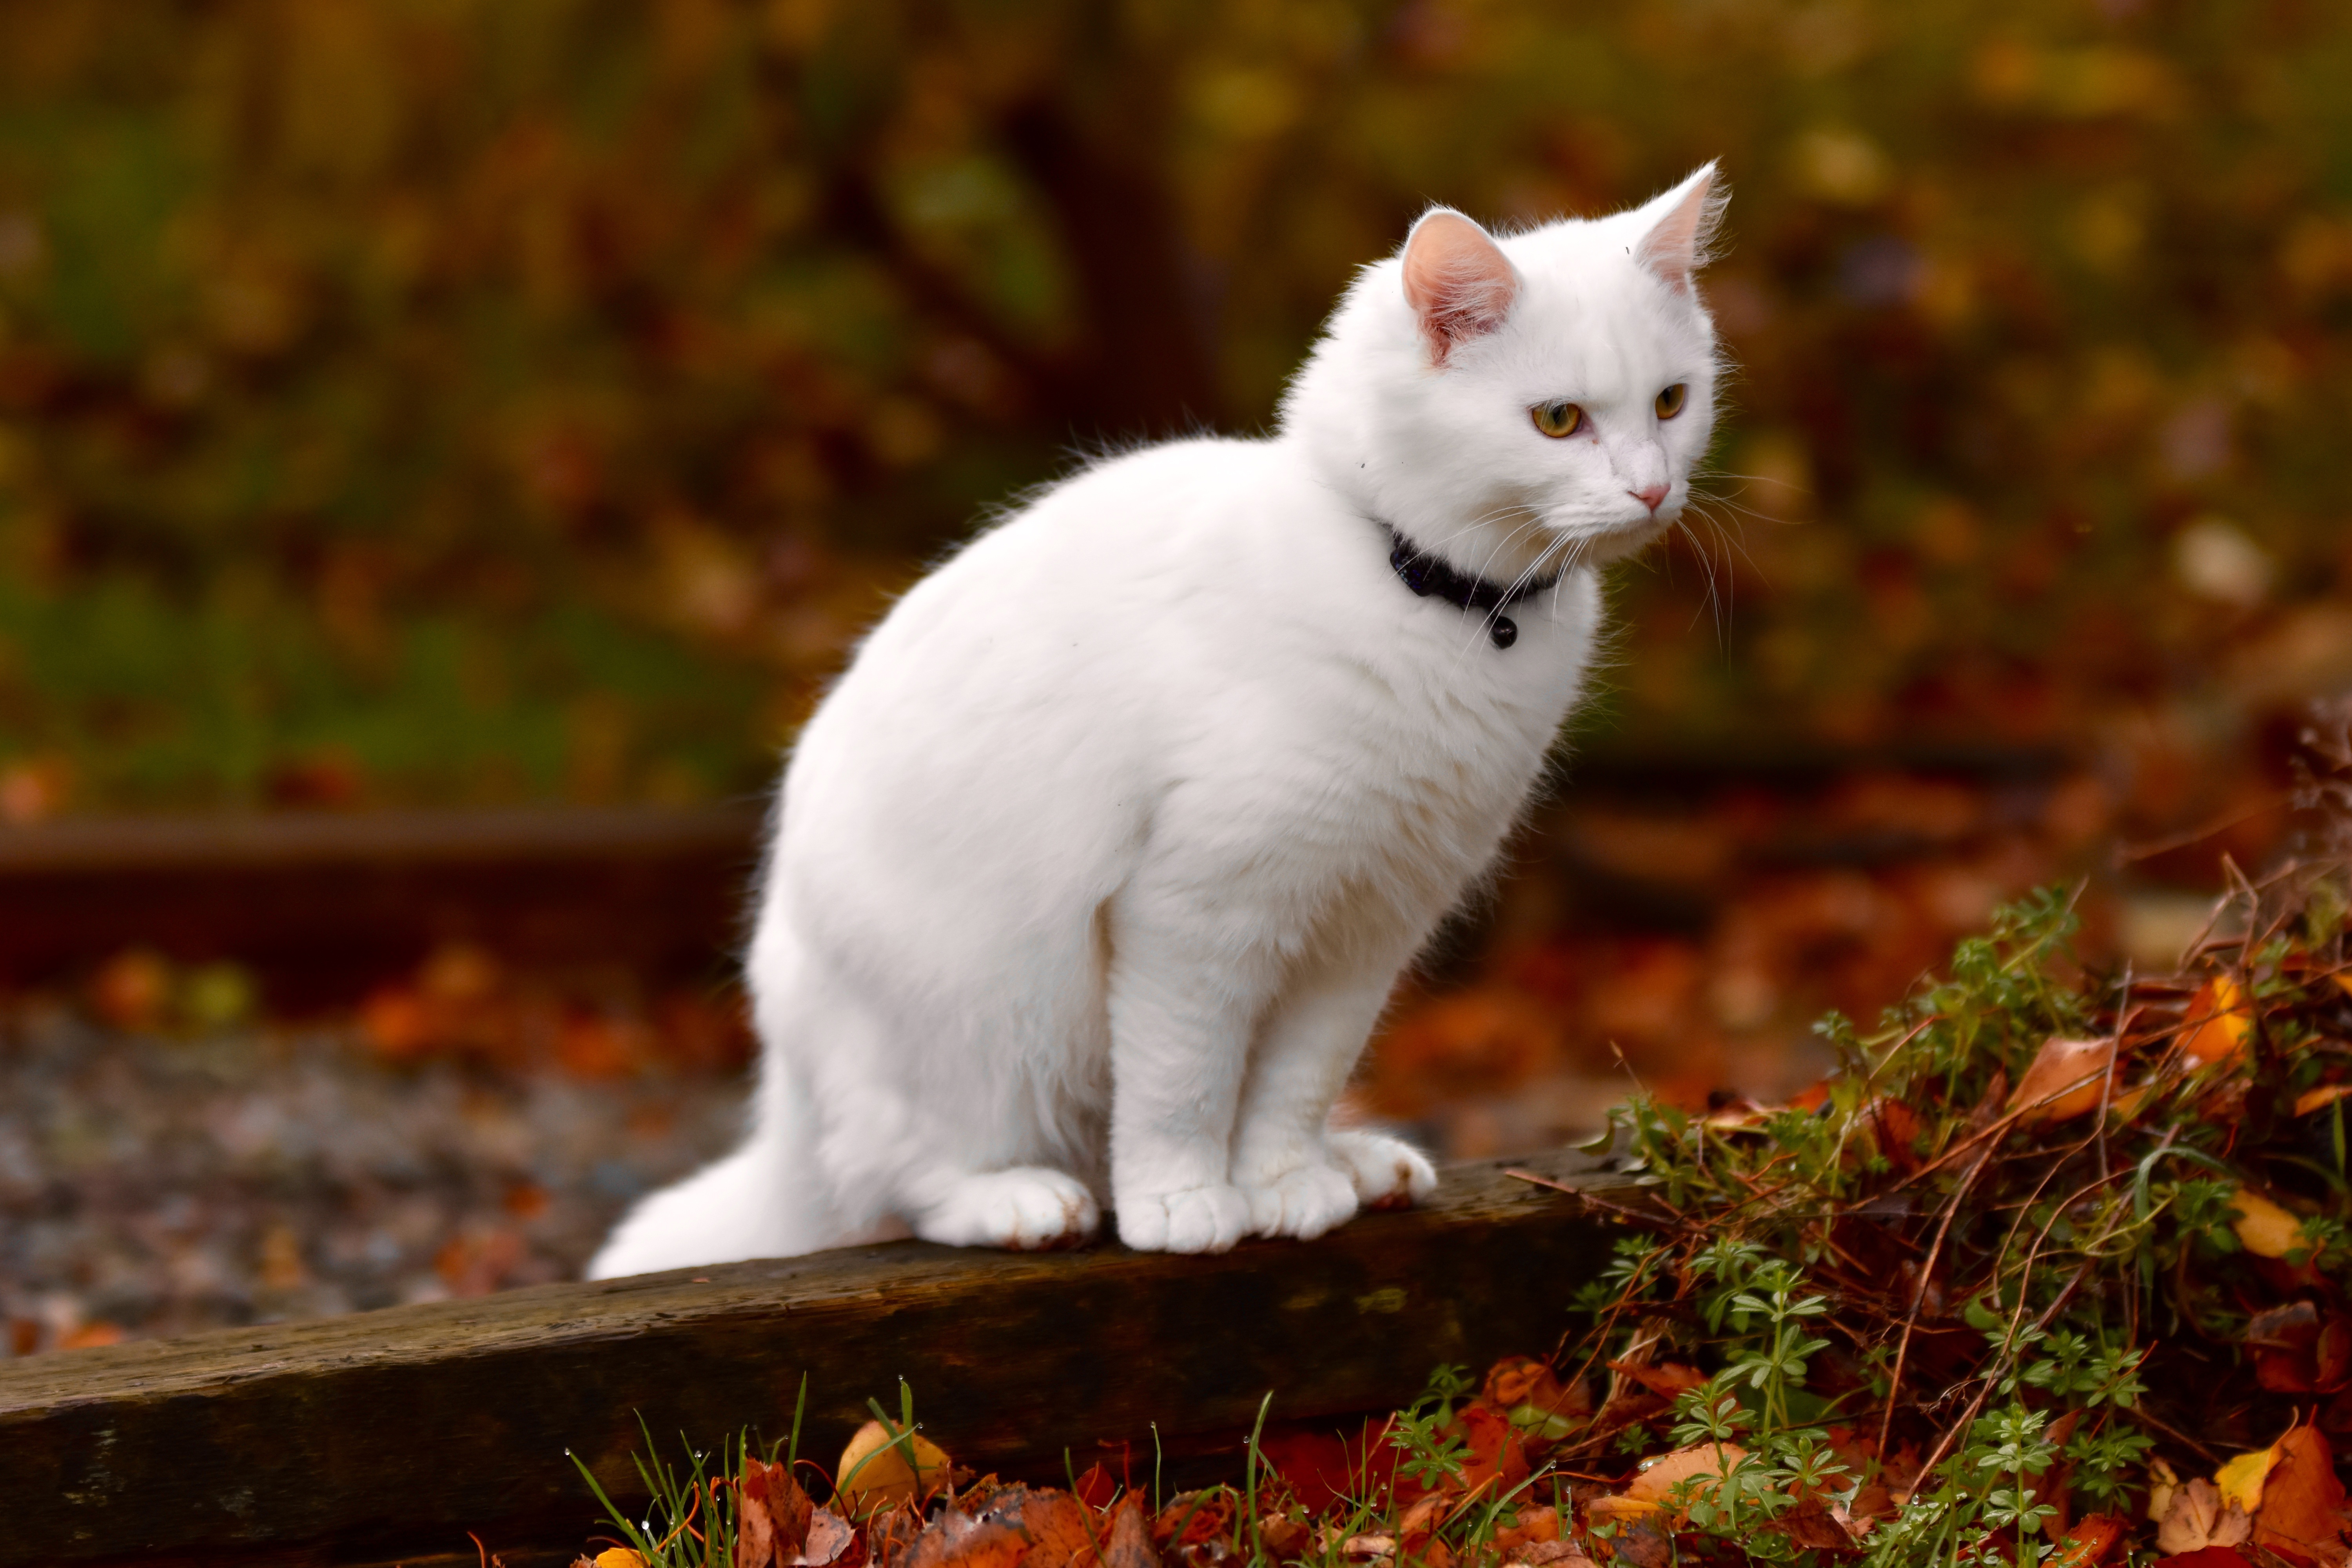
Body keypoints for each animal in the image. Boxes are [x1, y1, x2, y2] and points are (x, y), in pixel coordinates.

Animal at [588, 169, 1731, 1279]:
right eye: (1559, 421)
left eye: (1671, 402)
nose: (1653, 489)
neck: (1430, 594)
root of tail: (786, 1096)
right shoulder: (1196, 911)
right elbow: (1186, 1082)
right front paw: (1185, 1203)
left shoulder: (1371, 921)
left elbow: (1294, 1081)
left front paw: (1286, 1181)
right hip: (986, 1015)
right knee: (902, 1177)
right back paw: (1022, 1202)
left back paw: (1355, 1163)